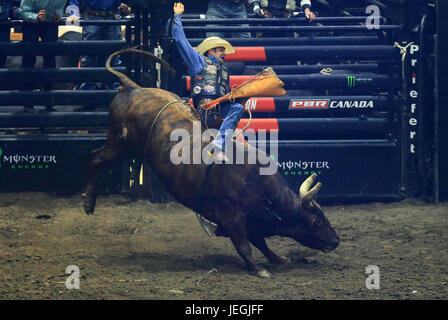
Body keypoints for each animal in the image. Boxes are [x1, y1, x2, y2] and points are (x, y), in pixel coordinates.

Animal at [83, 48, 340, 278]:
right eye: (317, 220)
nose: (336, 240)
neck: (256, 181)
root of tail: (132, 87)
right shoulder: (232, 217)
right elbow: (245, 245)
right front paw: (259, 269)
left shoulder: (252, 219)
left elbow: (260, 242)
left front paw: (277, 258)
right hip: (121, 145)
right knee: (95, 158)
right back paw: (88, 203)